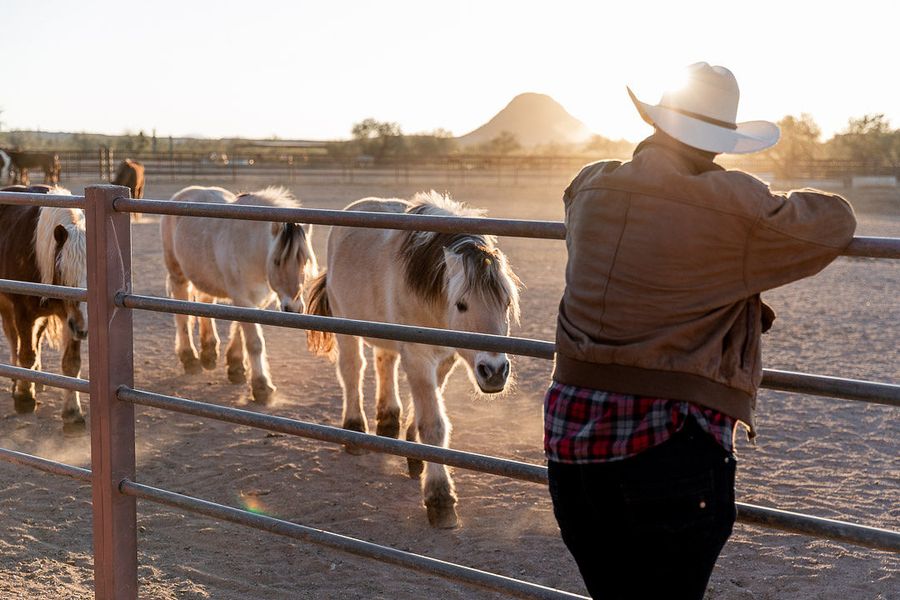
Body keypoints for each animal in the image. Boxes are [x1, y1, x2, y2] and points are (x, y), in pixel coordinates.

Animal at [0, 183, 88, 426]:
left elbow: (71, 363)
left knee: (35, 339)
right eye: (62, 270)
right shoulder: (22, 312)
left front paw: (72, 412)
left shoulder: (69, 318)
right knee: (13, 339)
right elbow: (26, 353)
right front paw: (24, 397)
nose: (83, 329)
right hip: (6, 306)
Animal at [160, 186, 318, 404]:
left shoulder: (256, 300)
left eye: (304, 261)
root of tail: (183, 194)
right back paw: (190, 359)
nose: (293, 308)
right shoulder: (243, 298)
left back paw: (209, 353)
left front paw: (235, 367)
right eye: (277, 261)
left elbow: (240, 332)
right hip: (177, 275)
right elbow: (254, 342)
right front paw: (262, 388)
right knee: (182, 316)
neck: (250, 245)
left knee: (205, 304)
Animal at [308, 190, 520, 528]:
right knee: (352, 371)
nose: (495, 371)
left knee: (385, 362)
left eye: (506, 303)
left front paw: (413, 449)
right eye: (461, 304)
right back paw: (354, 430)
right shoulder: (419, 357)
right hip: (345, 324)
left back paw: (388, 422)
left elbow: (428, 406)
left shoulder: (445, 358)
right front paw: (440, 498)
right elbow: (434, 424)